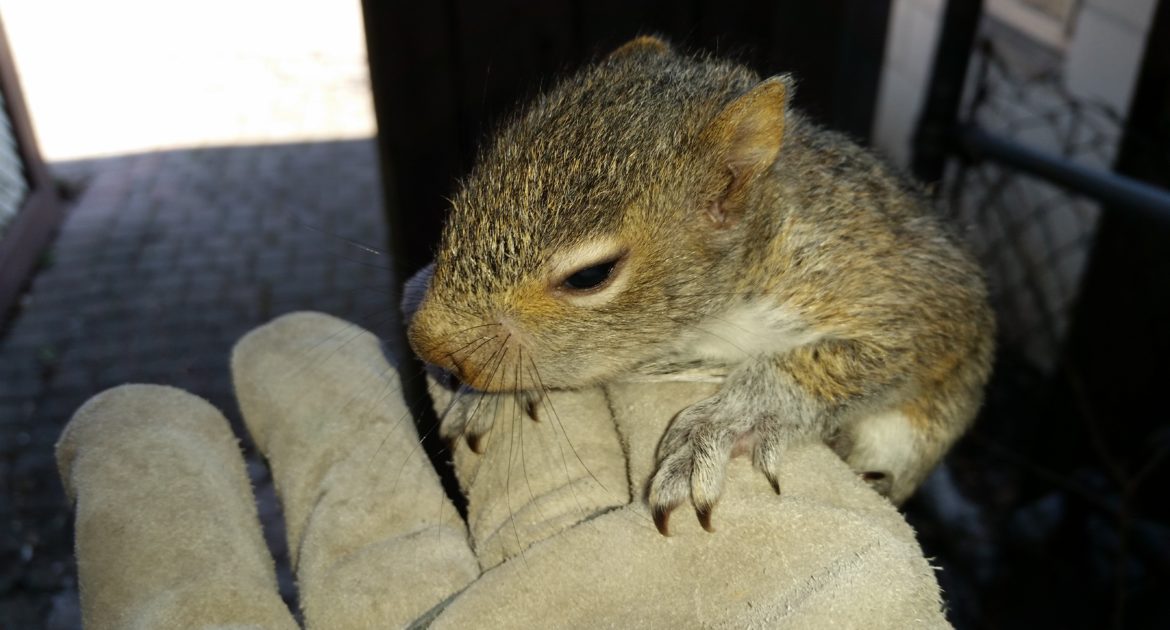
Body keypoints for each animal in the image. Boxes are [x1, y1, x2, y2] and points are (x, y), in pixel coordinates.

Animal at [407, 35, 992, 533]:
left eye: (591, 276)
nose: (426, 342)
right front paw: (487, 394)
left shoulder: (897, 289)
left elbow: (868, 358)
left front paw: (726, 422)